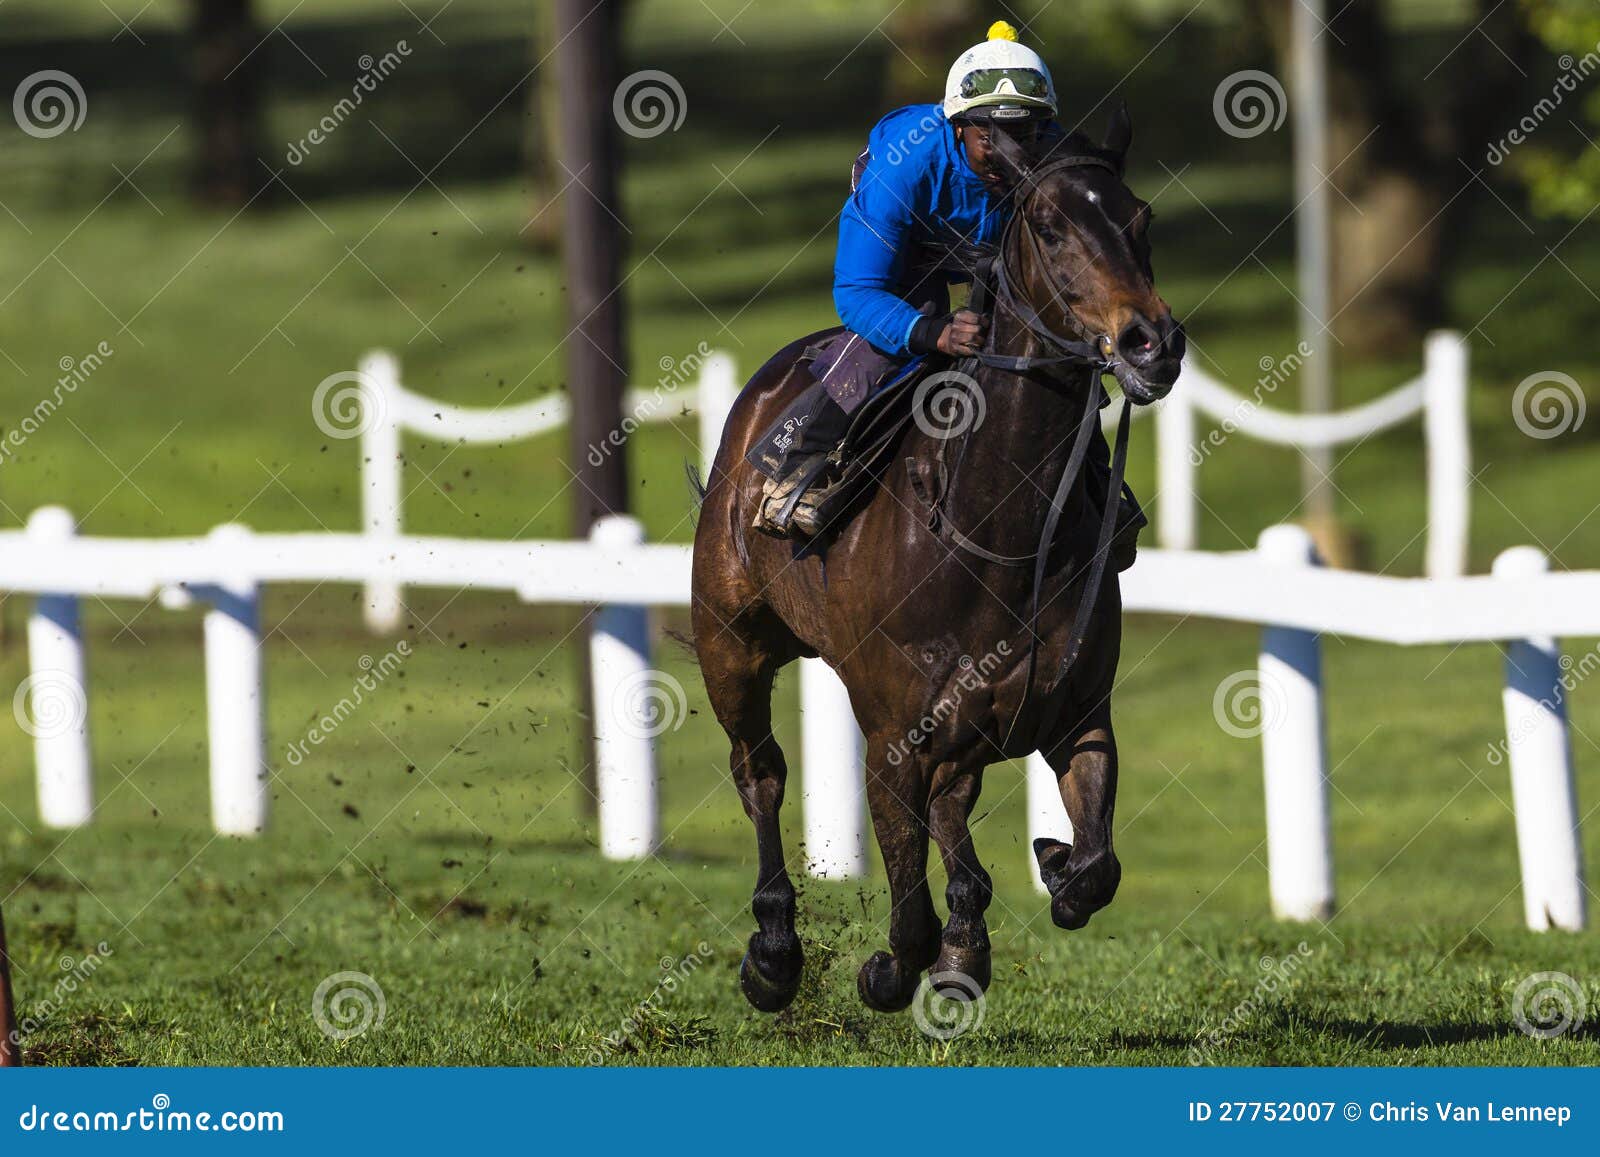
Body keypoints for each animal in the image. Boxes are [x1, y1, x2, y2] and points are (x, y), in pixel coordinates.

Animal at [690, 107, 1184, 1016]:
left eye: (1141, 219)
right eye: (1050, 225)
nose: (1151, 342)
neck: (1002, 527)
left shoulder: (1077, 711)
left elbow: (1097, 866)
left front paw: (1051, 866)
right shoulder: (893, 738)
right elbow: (907, 911)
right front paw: (885, 970)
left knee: (954, 805)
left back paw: (967, 934)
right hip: (730, 641)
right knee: (760, 772)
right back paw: (774, 951)